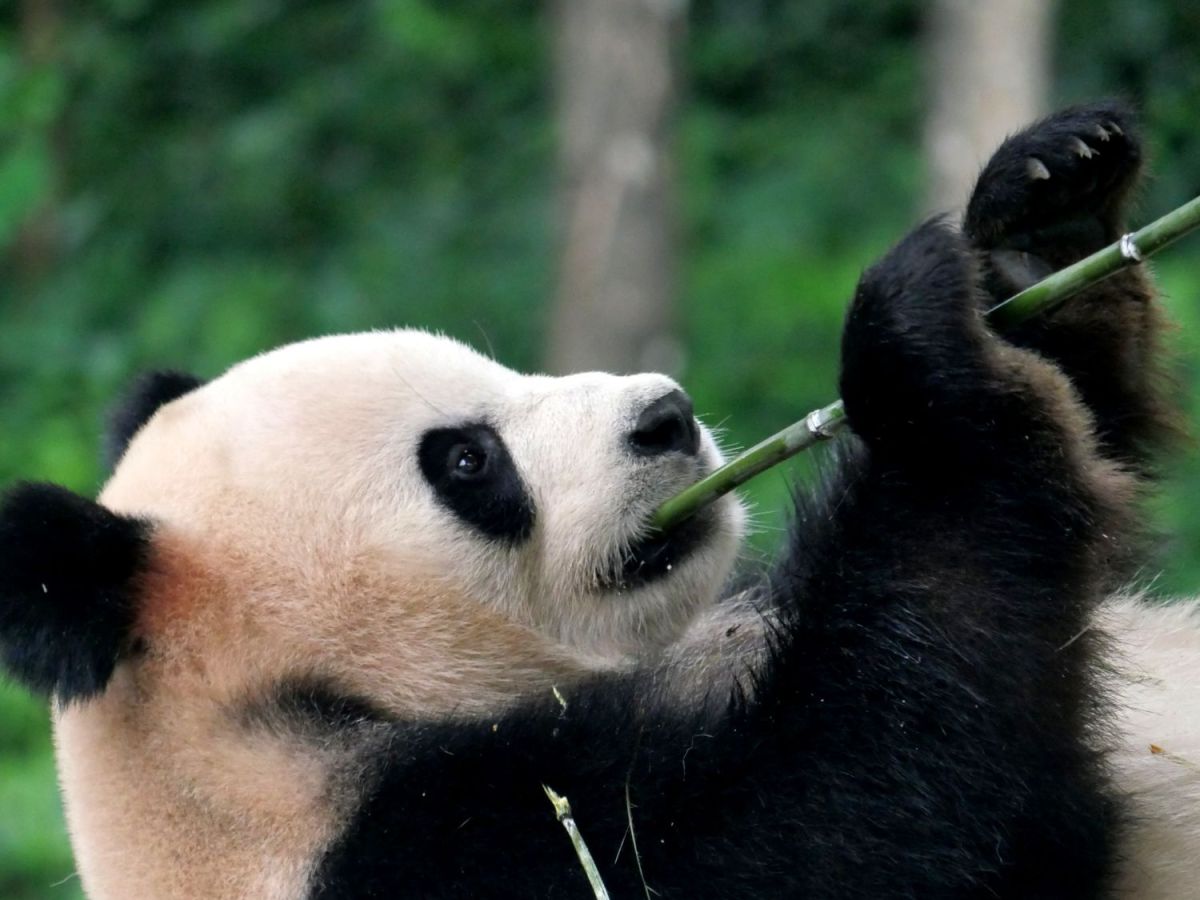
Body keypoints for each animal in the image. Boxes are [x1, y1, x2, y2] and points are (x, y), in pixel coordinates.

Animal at [1, 102, 1197, 899]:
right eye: (467, 462)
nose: (668, 416)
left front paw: (1036, 223)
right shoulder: (431, 854)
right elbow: (884, 809)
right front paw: (915, 362)